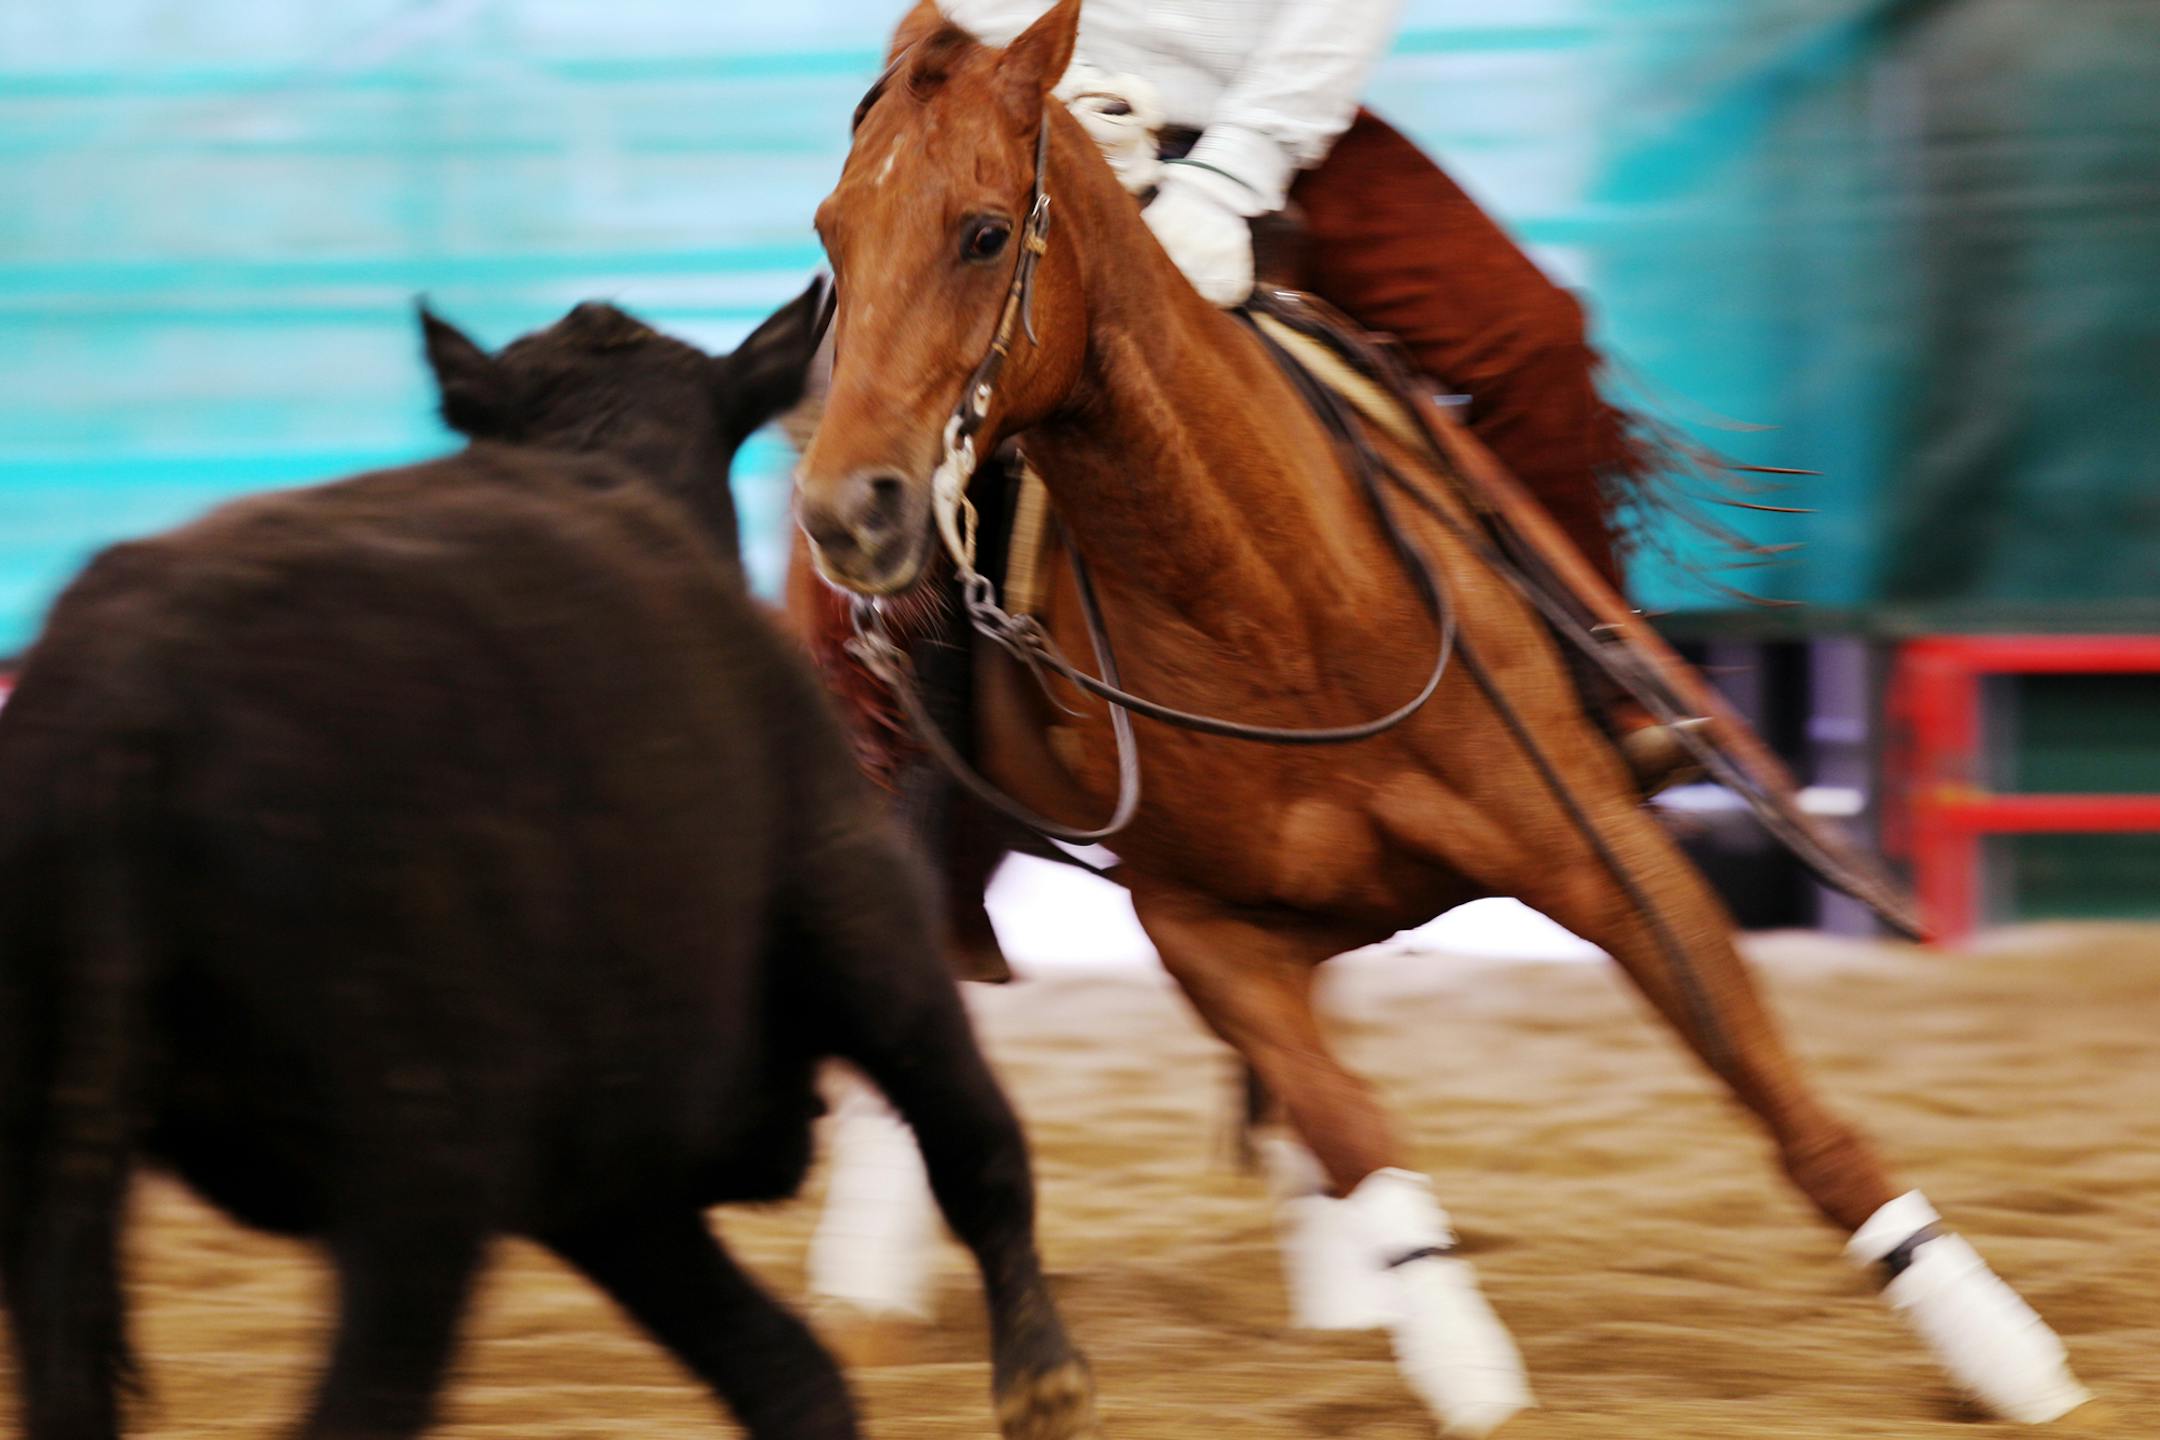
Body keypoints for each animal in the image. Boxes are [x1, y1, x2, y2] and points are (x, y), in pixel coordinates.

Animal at [0, 288, 1095, 1440]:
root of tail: (125, 704)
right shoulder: (858, 914)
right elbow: (974, 1141)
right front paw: (1043, 1377)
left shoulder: (609, 1175)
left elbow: (791, 1376)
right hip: (419, 1177)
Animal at [788, 3, 2088, 1433]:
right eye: (833, 230)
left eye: (982, 232)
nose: (851, 509)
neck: (1275, 606)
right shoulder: (1197, 927)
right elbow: (1357, 1126)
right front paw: (1457, 1348)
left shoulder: (1604, 850)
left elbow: (1781, 1094)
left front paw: (2001, 1344)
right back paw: (876, 1280)